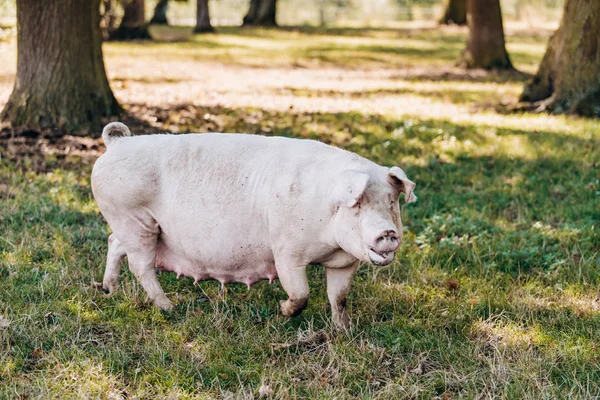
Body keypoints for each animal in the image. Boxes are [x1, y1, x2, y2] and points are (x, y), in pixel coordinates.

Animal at [91, 122, 418, 328]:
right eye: (358, 203)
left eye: (391, 201)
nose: (388, 232)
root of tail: (117, 143)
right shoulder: (286, 250)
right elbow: (301, 292)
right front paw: (283, 311)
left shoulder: (345, 262)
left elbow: (339, 297)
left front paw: (343, 330)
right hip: (134, 219)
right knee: (140, 265)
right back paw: (170, 309)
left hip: (132, 226)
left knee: (113, 243)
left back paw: (108, 290)